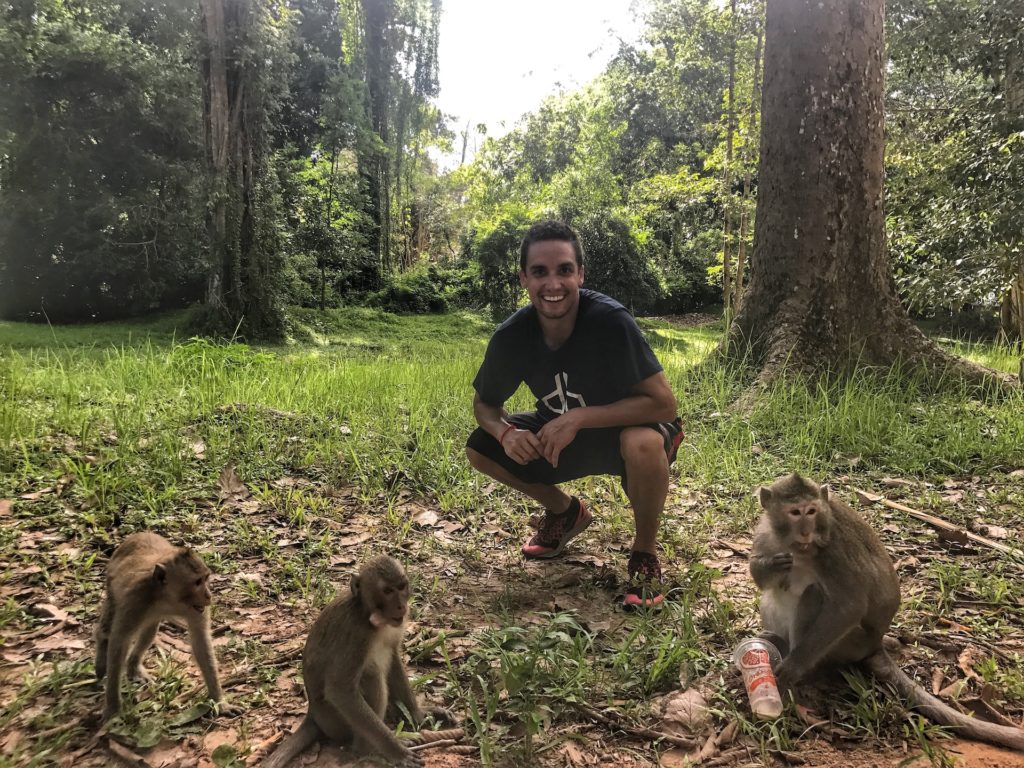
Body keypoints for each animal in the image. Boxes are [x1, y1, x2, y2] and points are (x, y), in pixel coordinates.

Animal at [94, 536, 228, 720]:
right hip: (110, 585)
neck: (167, 598)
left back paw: (134, 666)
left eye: (206, 578)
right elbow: (120, 641)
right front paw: (113, 707)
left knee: (150, 630)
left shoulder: (196, 607)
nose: (208, 595)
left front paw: (219, 701)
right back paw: (102, 654)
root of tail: (136, 535)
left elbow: (200, 640)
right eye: (197, 582)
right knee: (108, 627)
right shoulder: (135, 599)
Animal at [262, 557, 442, 768]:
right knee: (372, 676)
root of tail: (313, 715)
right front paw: (396, 750)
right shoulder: (354, 634)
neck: (366, 613)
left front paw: (419, 715)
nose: (400, 606)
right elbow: (340, 690)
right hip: (334, 720)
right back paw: (369, 749)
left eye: (401, 587)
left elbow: (394, 659)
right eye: (387, 591)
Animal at [745, 473, 1024, 753]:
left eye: (811, 511)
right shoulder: (765, 533)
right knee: (774, 593)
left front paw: (795, 665)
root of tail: (876, 644)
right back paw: (776, 641)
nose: (805, 531)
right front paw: (771, 566)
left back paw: (796, 660)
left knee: (814, 594)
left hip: (851, 643)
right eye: (795, 512)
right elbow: (760, 575)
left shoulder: (834, 548)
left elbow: (850, 604)